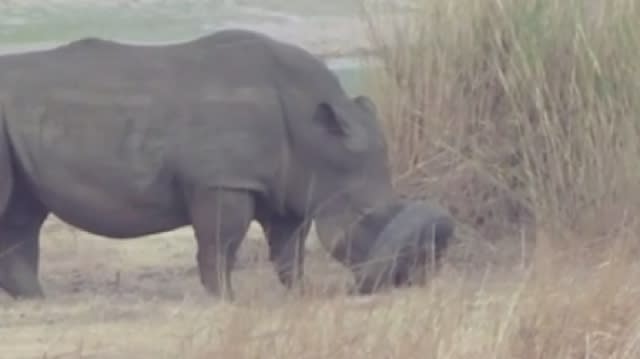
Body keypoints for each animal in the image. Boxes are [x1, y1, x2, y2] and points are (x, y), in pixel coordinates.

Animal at [0, 28, 456, 300]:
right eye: (367, 217)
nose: (409, 278)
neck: (316, 134)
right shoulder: (224, 180)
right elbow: (221, 242)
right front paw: (224, 299)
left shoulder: (289, 182)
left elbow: (289, 246)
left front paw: (299, 294)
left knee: (23, 213)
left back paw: (35, 300)